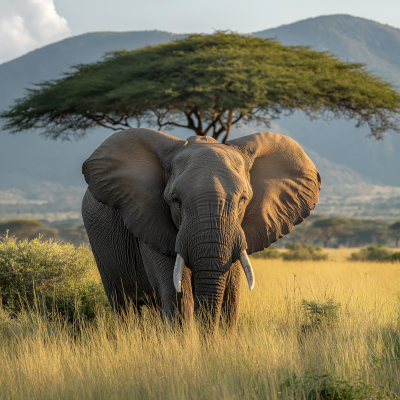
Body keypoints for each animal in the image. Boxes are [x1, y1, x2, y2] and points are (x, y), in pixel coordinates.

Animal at [81, 128, 322, 324]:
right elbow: (178, 296)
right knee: (124, 305)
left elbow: (229, 296)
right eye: (176, 200)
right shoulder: (150, 220)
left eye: (243, 199)